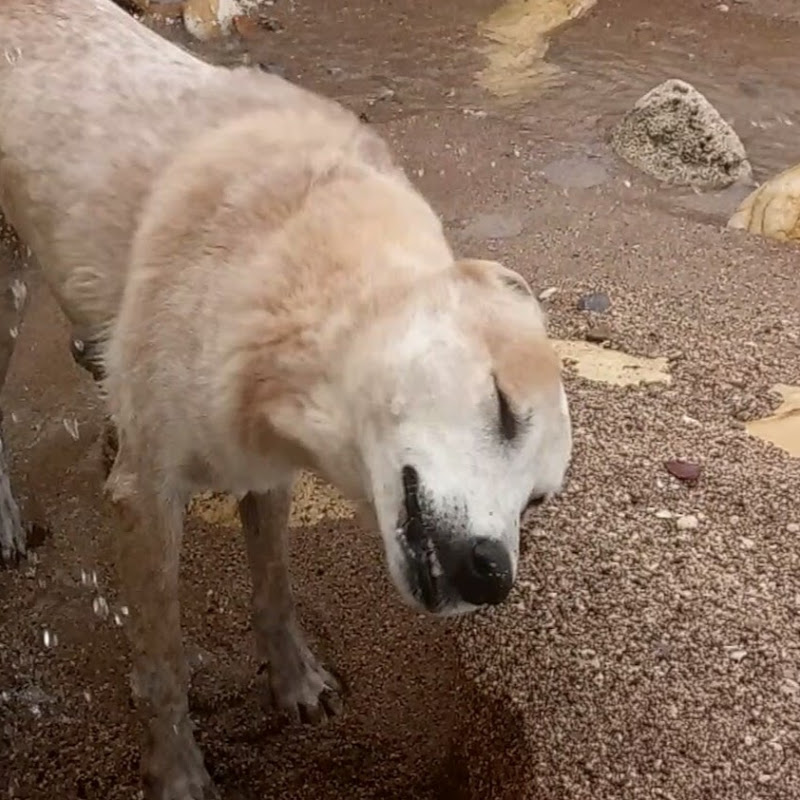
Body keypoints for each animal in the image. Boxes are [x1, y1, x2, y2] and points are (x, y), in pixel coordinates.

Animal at [0, 1, 573, 797]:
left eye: (538, 501)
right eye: (502, 405)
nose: (494, 577)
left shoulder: (263, 473)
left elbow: (275, 590)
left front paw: (294, 682)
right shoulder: (147, 500)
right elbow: (163, 666)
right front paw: (177, 772)